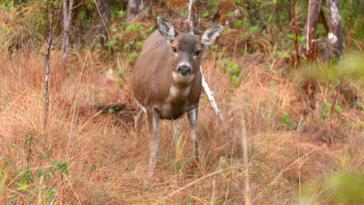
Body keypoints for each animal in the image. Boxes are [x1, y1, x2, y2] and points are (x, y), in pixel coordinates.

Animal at [130, 17, 222, 179]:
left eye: (198, 51)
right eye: (174, 49)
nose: (184, 68)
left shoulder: (194, 104)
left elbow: (195, 136)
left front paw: (197, 167)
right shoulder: (151, 105)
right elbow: (154, 142)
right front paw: (149, 174)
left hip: (174, 115)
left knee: (177, 132)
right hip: (140, 99)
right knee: (137, 118)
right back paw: (136, 144)